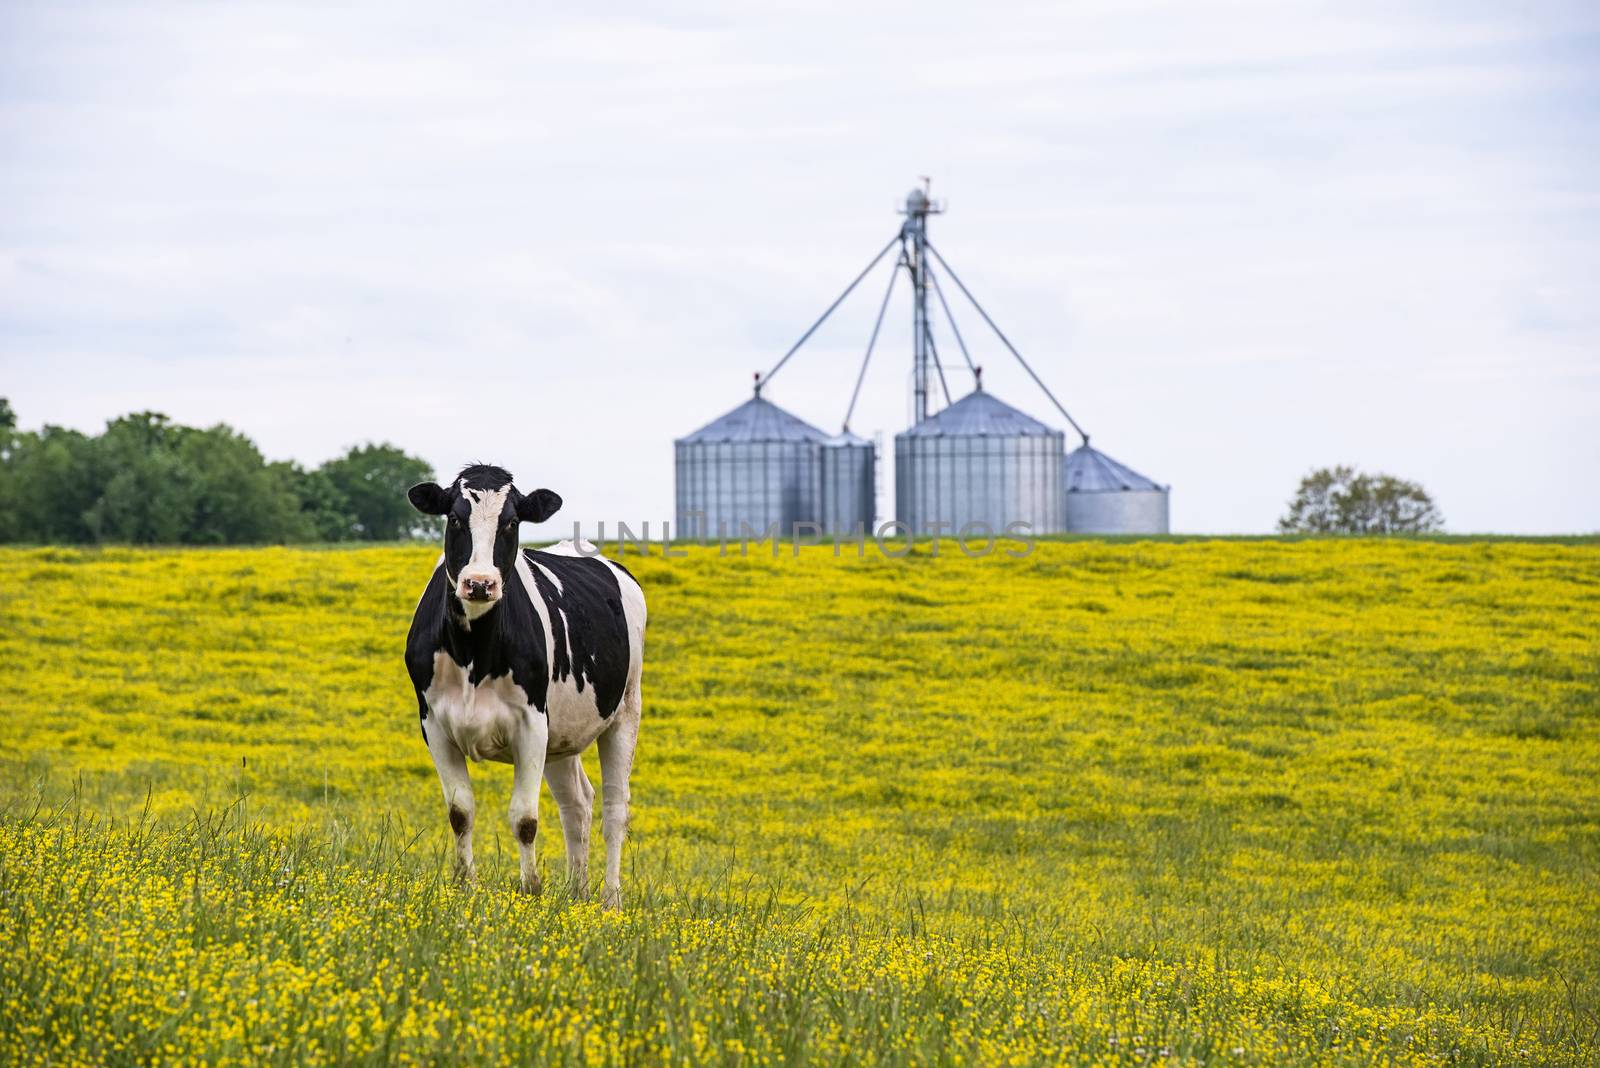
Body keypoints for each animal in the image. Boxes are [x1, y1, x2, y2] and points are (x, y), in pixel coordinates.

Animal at [403, 463, 646, 908]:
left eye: (512, 522)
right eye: (455, 518)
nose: (480, 584)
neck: (473, 653)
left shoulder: (531, 724)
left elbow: (525, 819)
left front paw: (530, 890)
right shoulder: (434, 725)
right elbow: (460, 812)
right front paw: (465, 885)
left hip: (625, 711)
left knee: (614, 807)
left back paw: (610, 900)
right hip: (562, 734)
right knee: (577, 804)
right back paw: (576, 892)